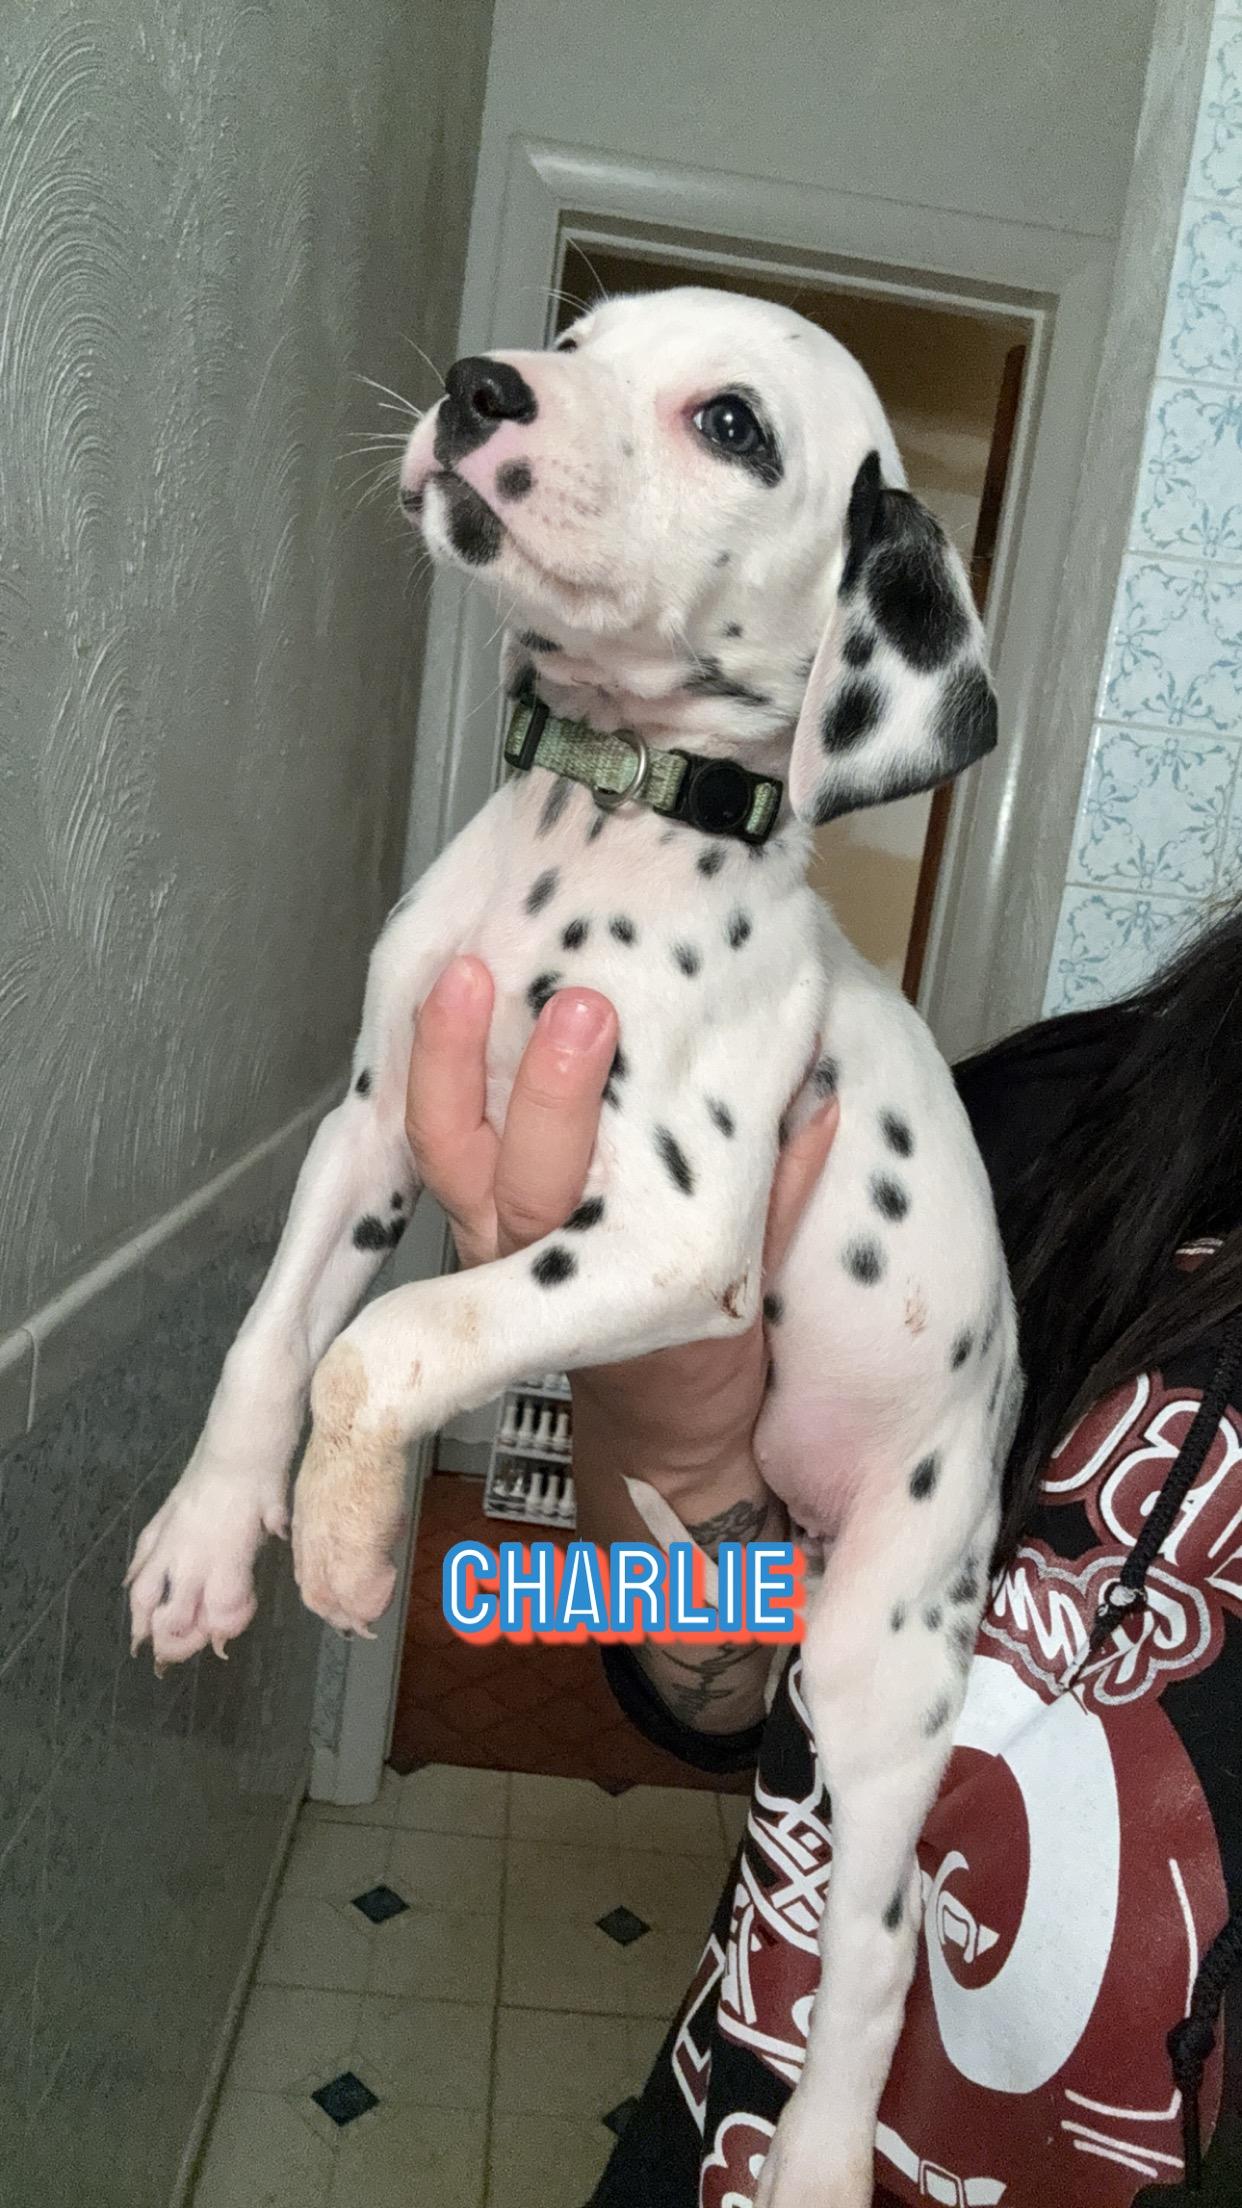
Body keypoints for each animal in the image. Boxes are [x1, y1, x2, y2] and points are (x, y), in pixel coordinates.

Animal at [127, 286, 1021, 2207]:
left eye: (734, 424)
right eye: (577, 334)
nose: (480, 388)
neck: (603, 814)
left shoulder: (670, 1233)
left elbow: (380, 1344)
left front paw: (344, 1539)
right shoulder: (369, 1129)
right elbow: (272, 1337)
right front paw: (211, 1538)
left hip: (887, 1676)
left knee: (875, 1950)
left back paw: (817, 2155)